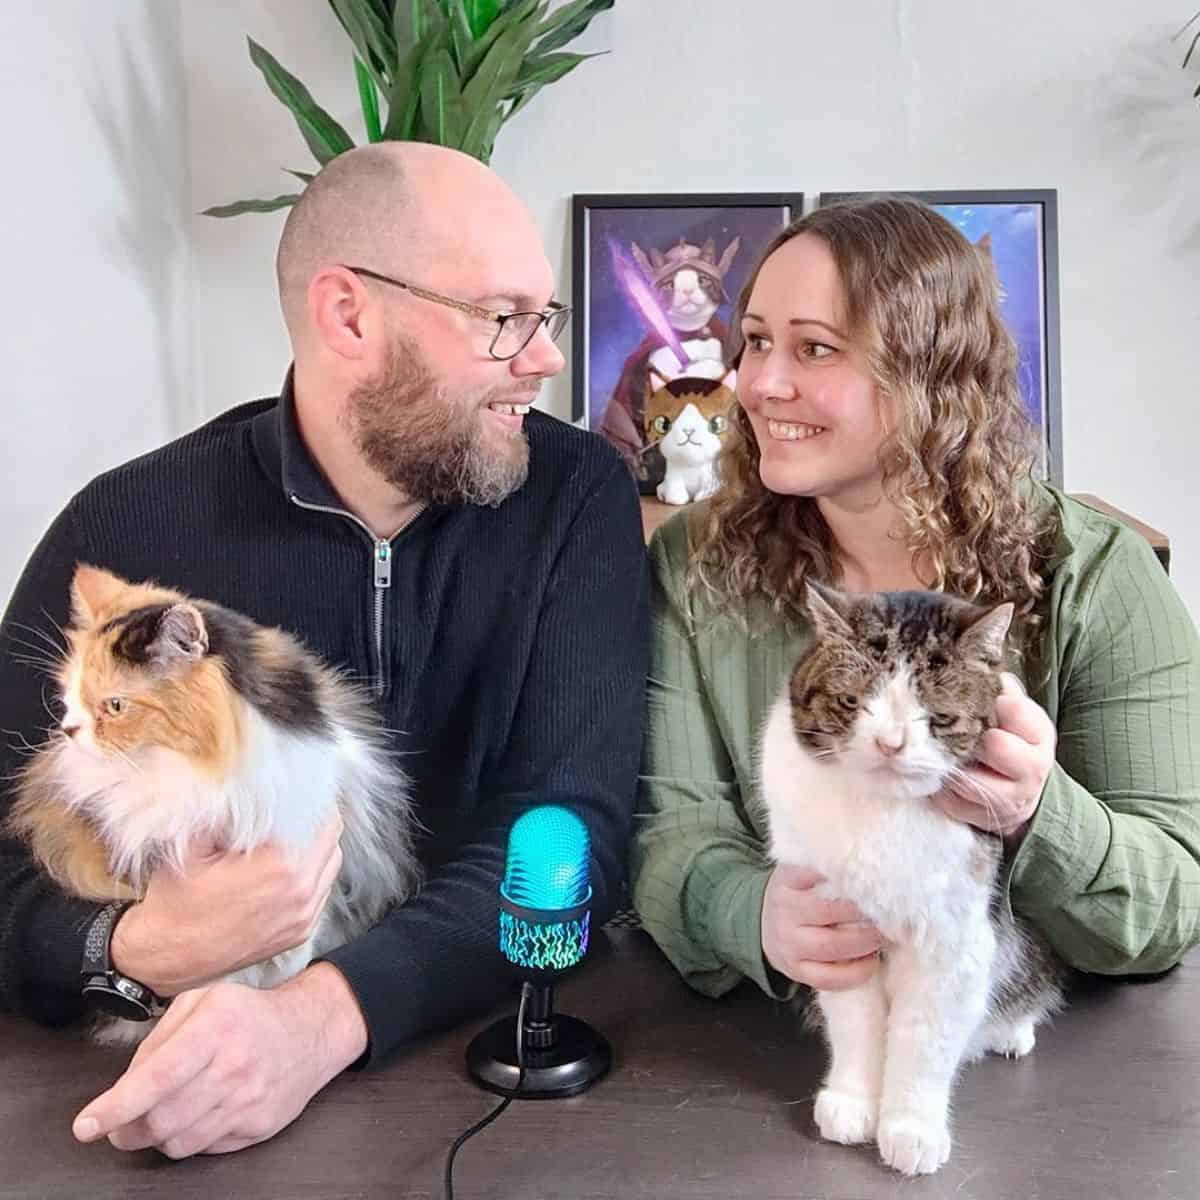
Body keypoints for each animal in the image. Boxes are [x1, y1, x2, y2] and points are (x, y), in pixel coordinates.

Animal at [643, 367, 734, 504]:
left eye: (717, 424)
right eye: (663, 424)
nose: (688, 430)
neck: (691, 466)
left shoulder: (711, 475)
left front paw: (705, 495)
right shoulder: (673, 475)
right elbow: (674, 494)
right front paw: (676, 497)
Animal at [763, 585, 1065, 1176]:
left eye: (939, 716)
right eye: (851, 702)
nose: (890, 743)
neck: (884, 814)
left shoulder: (952, 944)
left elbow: (923, 1040)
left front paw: (911, 1129)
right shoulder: (837, 931)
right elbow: (856, 1024)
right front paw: (854, 1103)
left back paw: (1013, 1031)